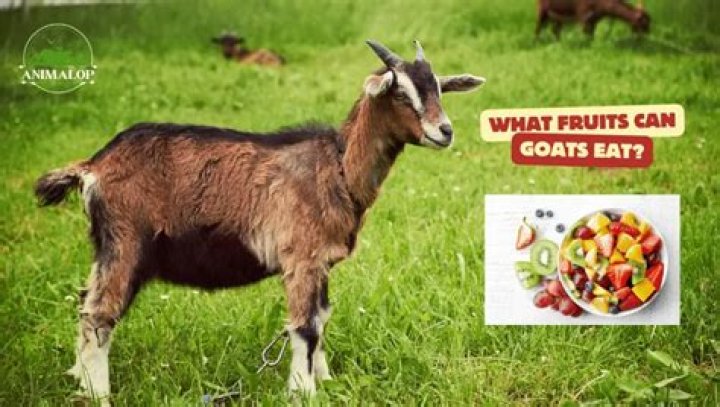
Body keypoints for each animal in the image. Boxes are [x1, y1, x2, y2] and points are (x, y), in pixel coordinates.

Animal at [34, 40, 484, 403]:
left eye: (438, 88)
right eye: (400, 92)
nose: (445, 131)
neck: (337, 166)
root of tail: (93, 166)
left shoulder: (321, 261)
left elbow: (322, 317)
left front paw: (326, 381)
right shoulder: (301, 256)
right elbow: (305, 326)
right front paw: (303, 392)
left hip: (106, 247)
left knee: (85, 306)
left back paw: (80, 381)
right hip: (126, 243)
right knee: (98, 315)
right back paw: (100, 395)